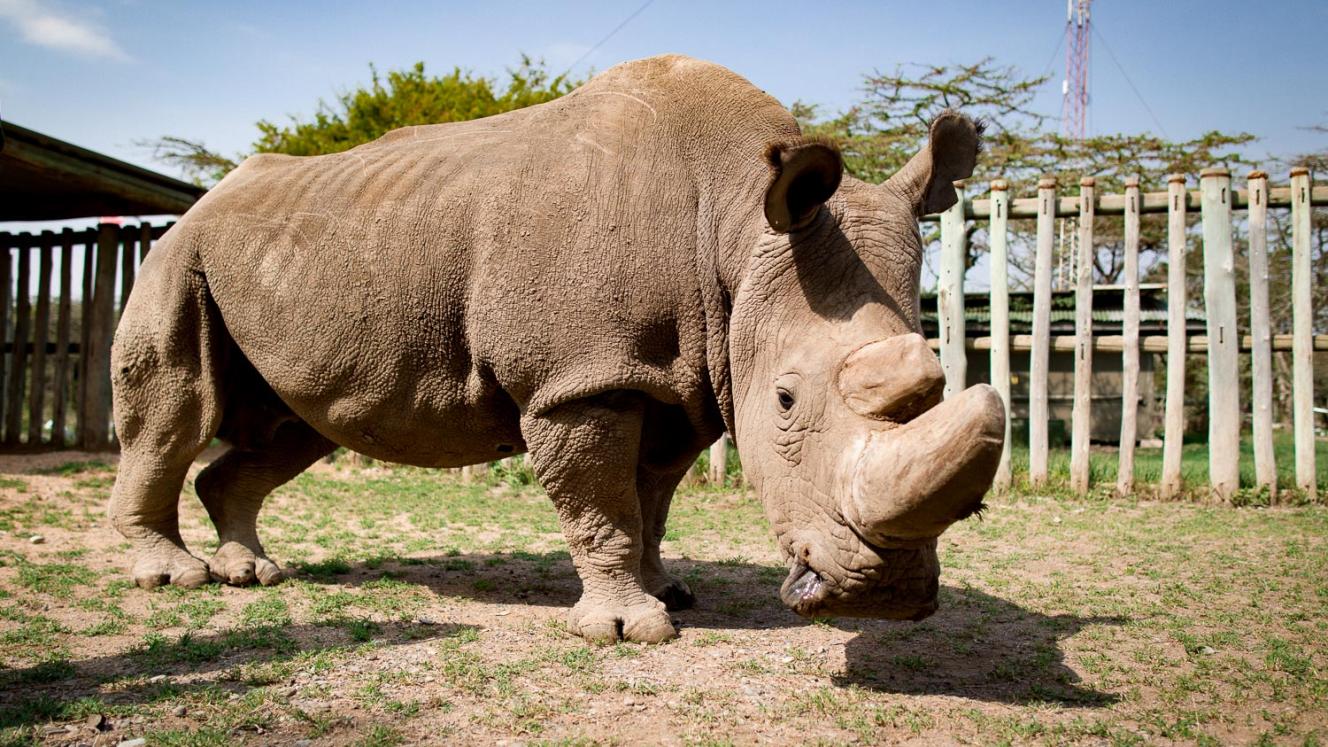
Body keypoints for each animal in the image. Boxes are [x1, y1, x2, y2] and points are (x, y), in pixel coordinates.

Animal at [110, 54, 1004, 643]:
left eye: (938, 380)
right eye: (785, 401)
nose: (883, 596)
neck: (736, 221)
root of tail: (202, 199)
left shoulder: (678, 379)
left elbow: (650, 498)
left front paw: (669, 591)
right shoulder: (579, 377)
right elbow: (602, 503)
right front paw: (628, 630)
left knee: (295, 425)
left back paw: (251, 571)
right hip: (178, 254)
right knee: (179, 409)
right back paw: (176, 579)